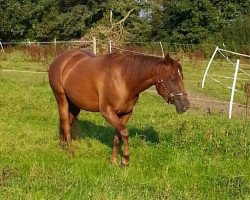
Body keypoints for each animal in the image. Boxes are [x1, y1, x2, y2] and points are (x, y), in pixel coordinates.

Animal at [48, 49, 189, 165]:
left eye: (181, 77)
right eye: (172, 79)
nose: (185, 106)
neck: (123, 80)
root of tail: (60, 59)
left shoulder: (125, 113)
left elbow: (118, 136)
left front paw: (114, 160)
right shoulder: (107, 112)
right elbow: (125, 133)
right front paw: (125, 160)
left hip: (75, 105)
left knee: (67, 122)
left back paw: (62, 146)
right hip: (61, 99)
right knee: (66, 125)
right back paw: (71, 153)